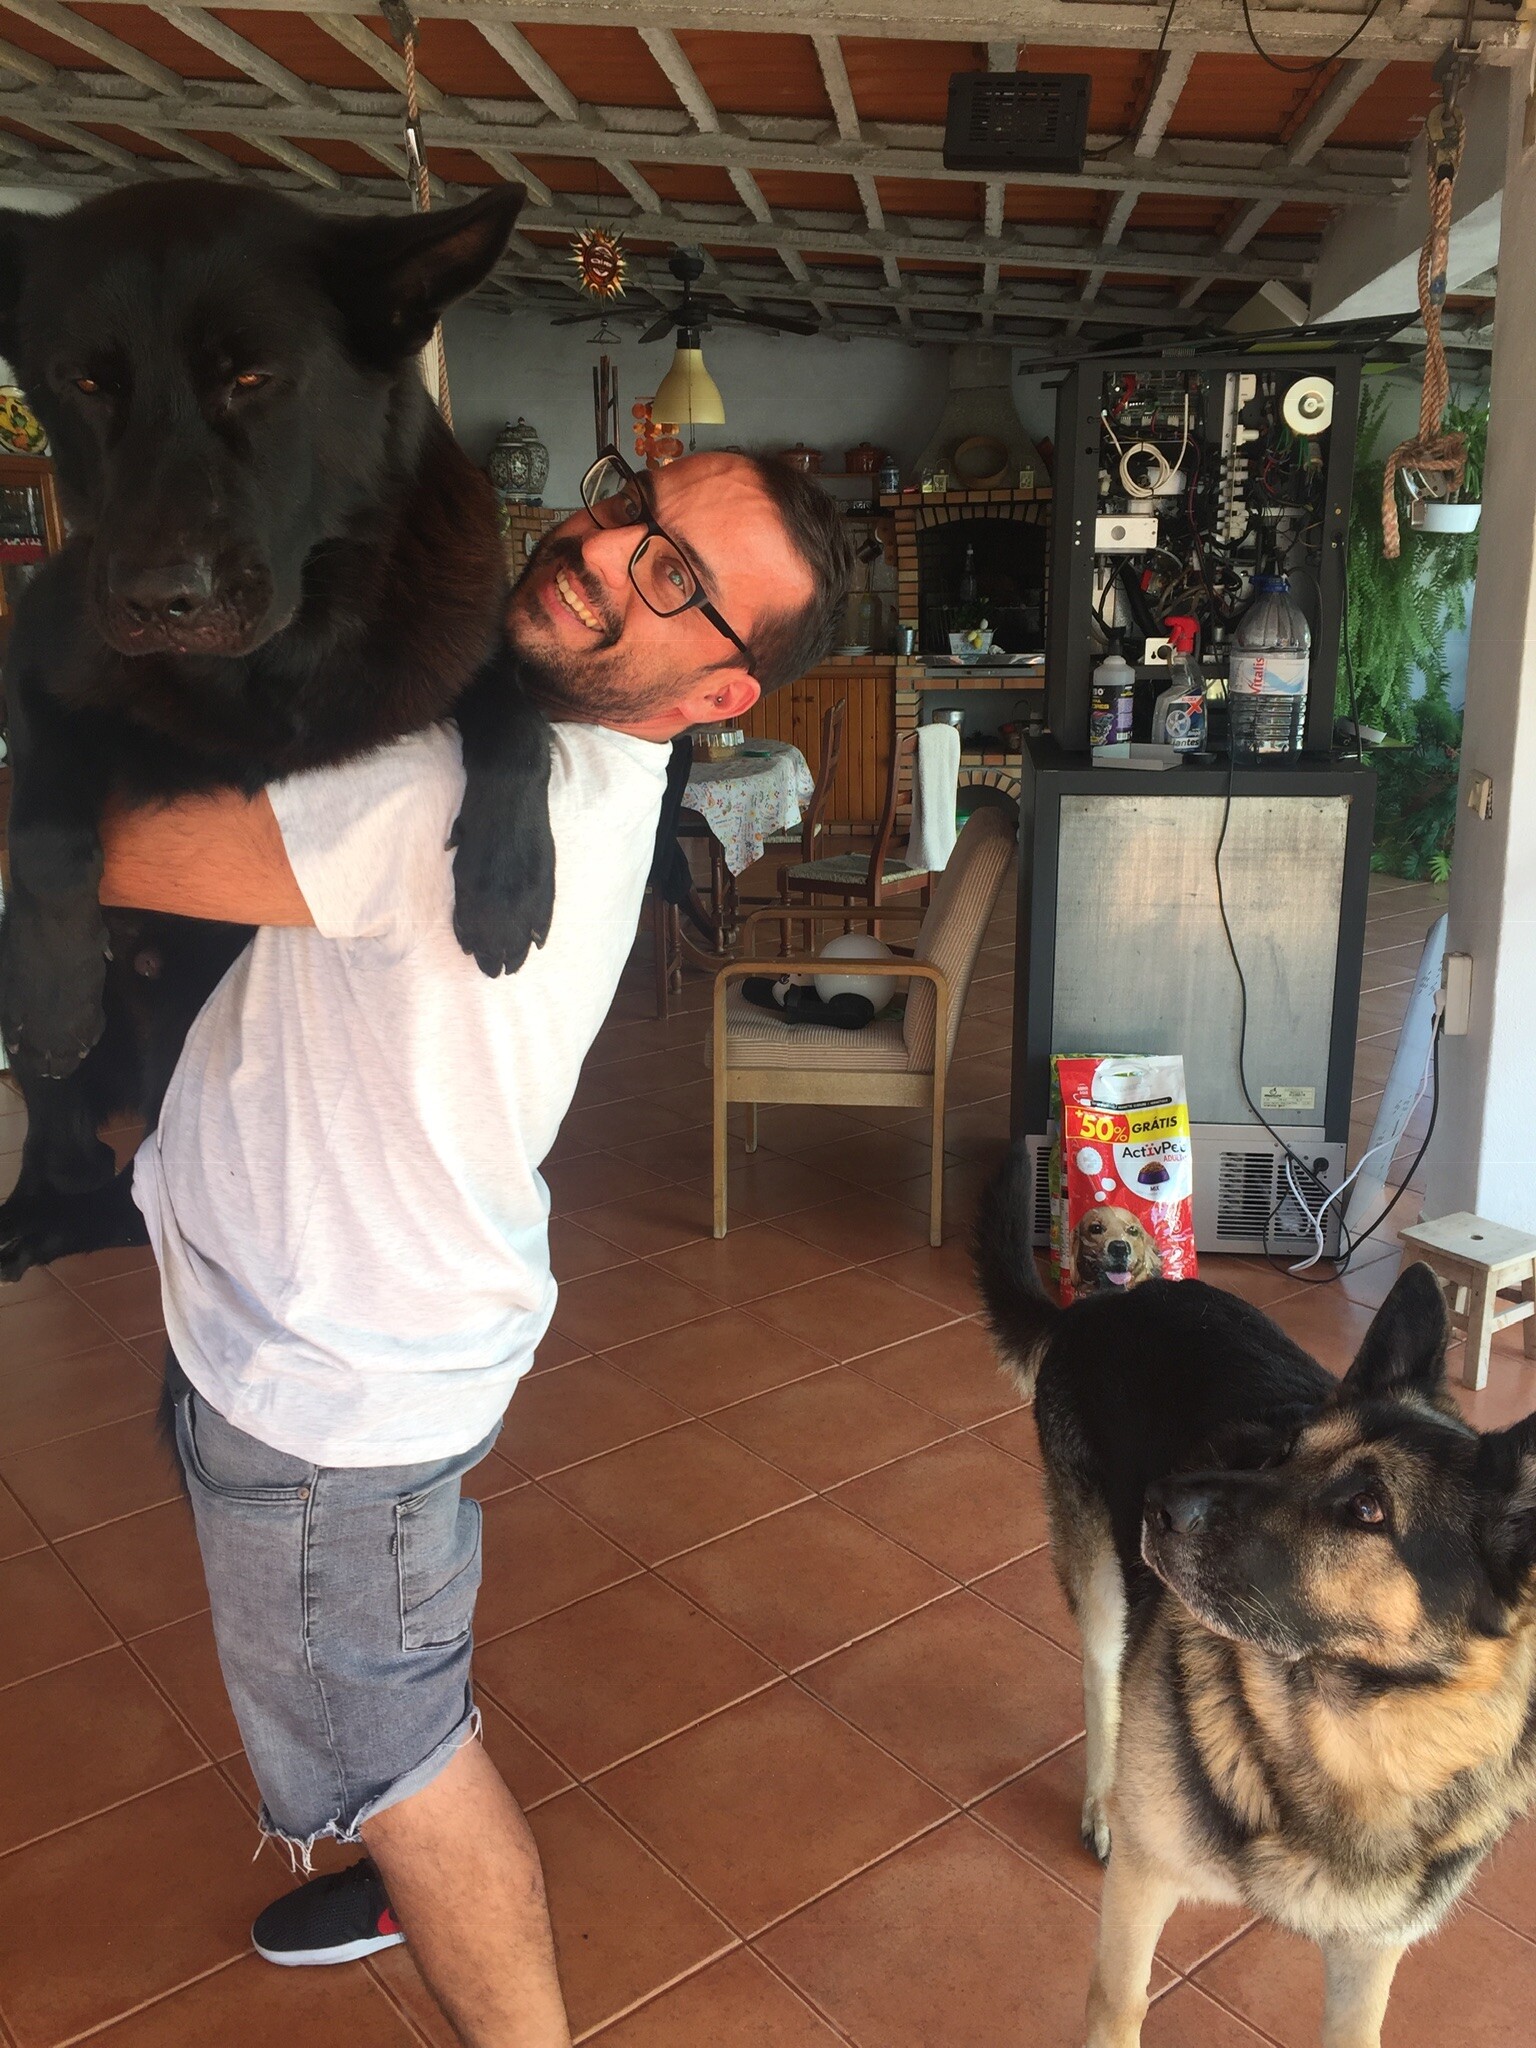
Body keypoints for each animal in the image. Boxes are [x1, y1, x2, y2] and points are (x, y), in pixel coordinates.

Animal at [0, 178, 554, 1280]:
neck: (283, 654)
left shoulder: (469, 644)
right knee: (63, 1133)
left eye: (253, 376)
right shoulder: (37, 645)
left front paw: (505, 881)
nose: (160, 601)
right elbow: (41, 825)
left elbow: (517, 709)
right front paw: (52, 984)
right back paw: (43, 1204)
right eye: (84, 381)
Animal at [975, 1143, 1536, 2048]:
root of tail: (1109, 1302)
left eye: (1369, 1509)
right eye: (1286, 1451)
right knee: (1103, 1683)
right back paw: (1101, 1799)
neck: (1355, 1737)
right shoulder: (1142, 1891)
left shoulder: (1367, 1958)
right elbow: (1118, 2005)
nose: (1159, 1503)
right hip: (1098, 1583)